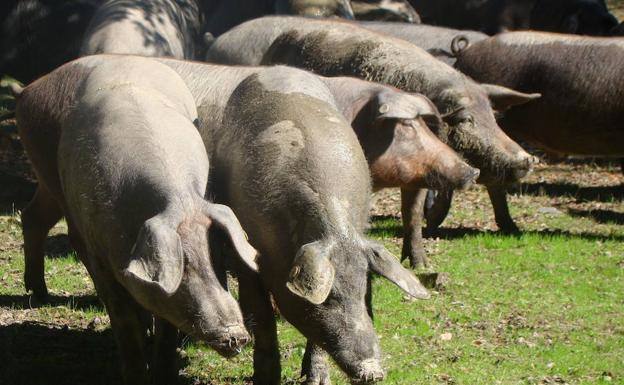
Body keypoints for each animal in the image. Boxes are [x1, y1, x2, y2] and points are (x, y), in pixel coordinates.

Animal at [14, 54, 258, 384]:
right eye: (184, 264)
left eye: (219, 256)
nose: (236, 335)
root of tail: (29, 89)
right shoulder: (102, 255)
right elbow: (123, 320)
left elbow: (166, 328)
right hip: (50, 173)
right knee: (61, 231)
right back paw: (40, 294)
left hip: (46, 182)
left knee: (32, 217)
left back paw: (38, 292)